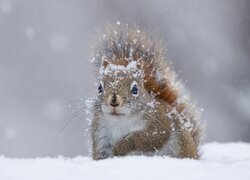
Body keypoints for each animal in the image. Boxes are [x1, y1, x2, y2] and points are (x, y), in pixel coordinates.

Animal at [89, 22, 202, 160]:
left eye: (135, 89)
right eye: (99, 88)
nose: (114, 100)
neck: (120, 121)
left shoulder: (160, 124)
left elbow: (143, 139)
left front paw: (120, 147)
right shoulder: (100, 134)